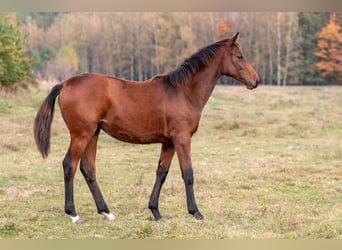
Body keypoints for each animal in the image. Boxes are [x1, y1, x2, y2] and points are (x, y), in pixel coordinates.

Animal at [34, 32, 260, 224]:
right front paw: (196, 212)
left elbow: (162, 172)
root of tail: (65, 84)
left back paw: (107, 212)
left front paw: (155, 211)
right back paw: (73, 214)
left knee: (88, 168)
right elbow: (188, 173)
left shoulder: (169, 143)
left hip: (93, 134)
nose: (255, 81)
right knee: (69, 165)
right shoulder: (182, 139)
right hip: (81, 134)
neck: (182, 92)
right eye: (239, 56)